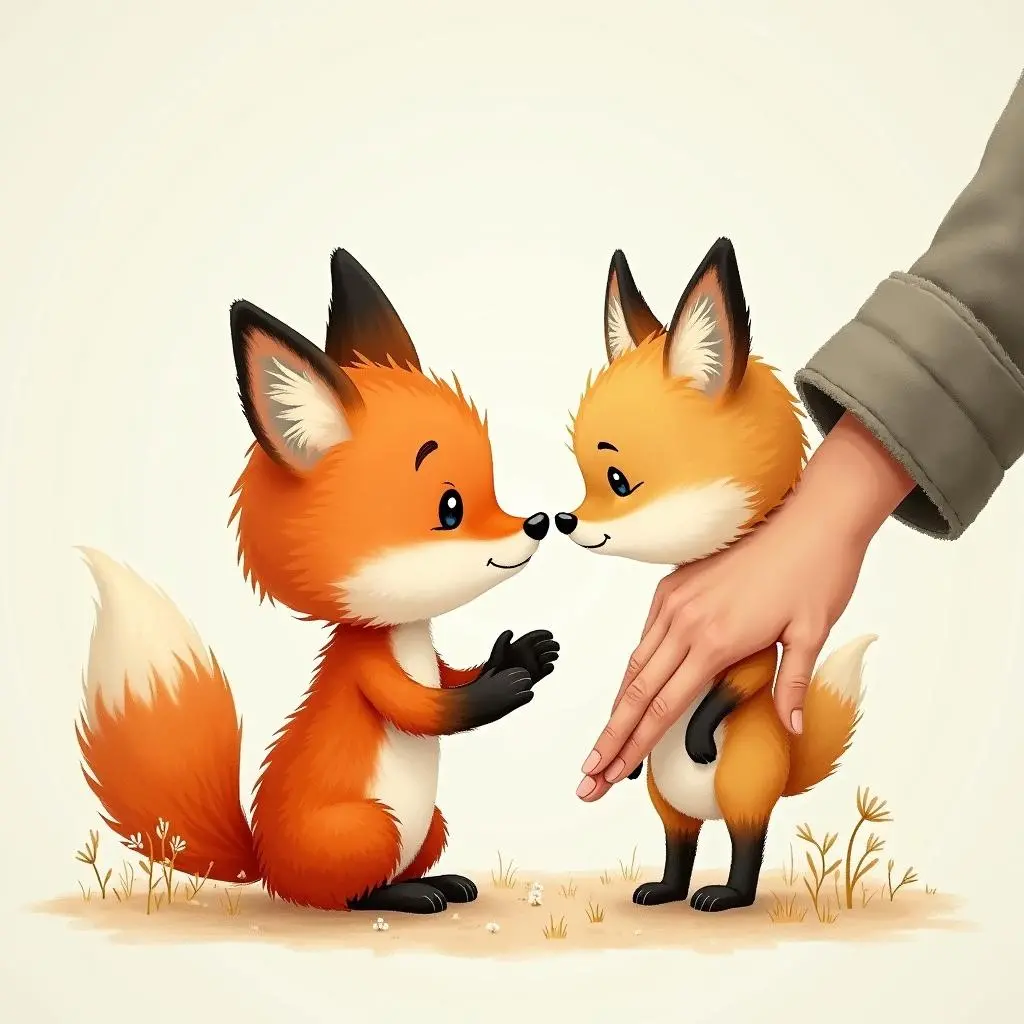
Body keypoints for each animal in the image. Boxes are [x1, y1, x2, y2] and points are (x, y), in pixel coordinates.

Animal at [75, 247, 560, 915]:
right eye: (451, 508)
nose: (538, 523)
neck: (403, 633)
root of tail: (265, 862)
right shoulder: (369, 669)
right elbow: (429, 708)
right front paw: (502, 688)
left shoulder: (429, 660)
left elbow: (453, 674)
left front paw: (522, 655)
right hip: (374, 827)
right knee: (351, 896)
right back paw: (410, 896)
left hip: (431, 825)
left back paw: (440, 883)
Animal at [555, 237, 876, 913]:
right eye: (584, 477)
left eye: (616, 480)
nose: (564, 521)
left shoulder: (747, 650)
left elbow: (740, 684)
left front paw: (701, 732)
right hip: (666, 803)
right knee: (681, 847)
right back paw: (666, 889)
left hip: (742, 793)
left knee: (746, 850)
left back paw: (725, 896)